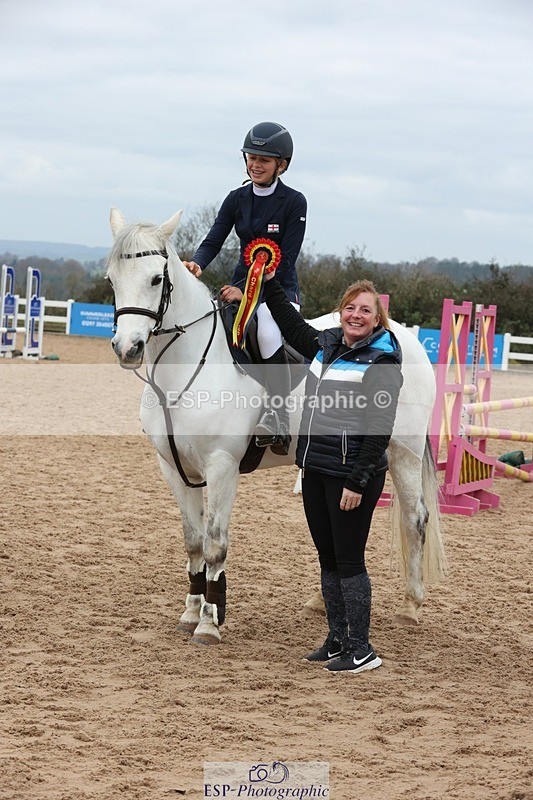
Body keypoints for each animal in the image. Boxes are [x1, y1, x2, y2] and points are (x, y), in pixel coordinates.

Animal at [106, 208, 446, 645]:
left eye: (154, 279)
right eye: (111, 280)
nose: (126, 348)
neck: (185, 371)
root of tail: (404, 336)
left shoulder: (222, 467)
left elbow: (215, 545)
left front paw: (209, 623)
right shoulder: (175, 469)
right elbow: (193, 542)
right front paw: (190, 611)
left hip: (403, 451)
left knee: (415, 518)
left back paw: (411, 606)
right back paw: (321, 601)